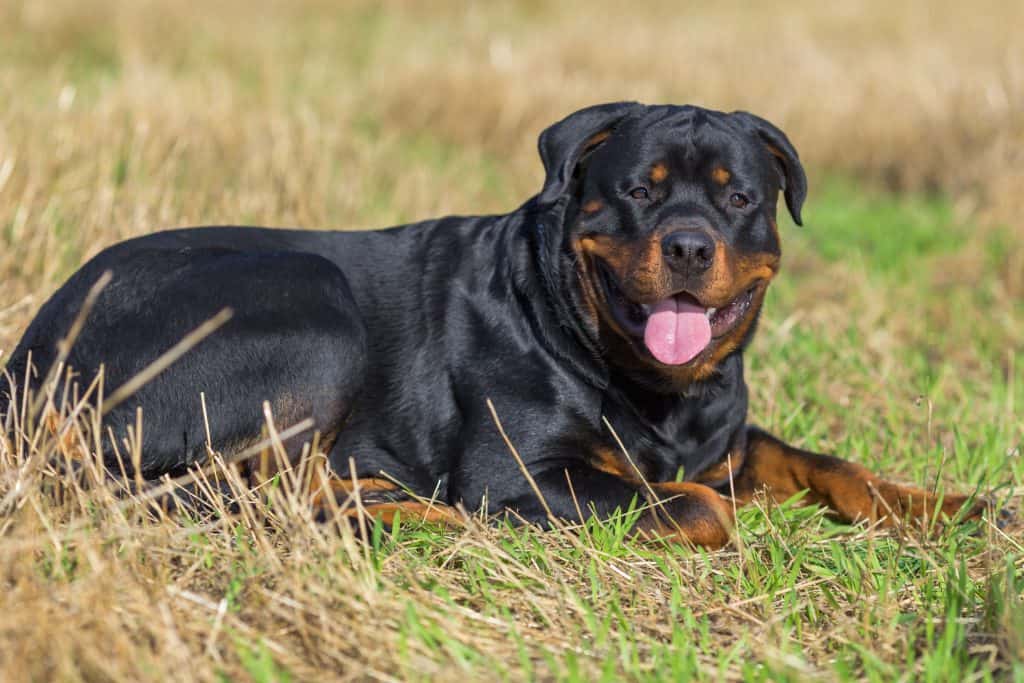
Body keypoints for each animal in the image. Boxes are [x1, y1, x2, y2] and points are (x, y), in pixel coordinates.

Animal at [2, 102, 991, 548]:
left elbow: (831, 462)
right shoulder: (523, 474)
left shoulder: (729, 438)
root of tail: (28, 358)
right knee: (223, 491)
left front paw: (953, 506)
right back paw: (412, 510)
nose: (687, 243)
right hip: (311, 304)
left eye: (739, 197)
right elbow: (695, 503)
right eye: (637, 191)